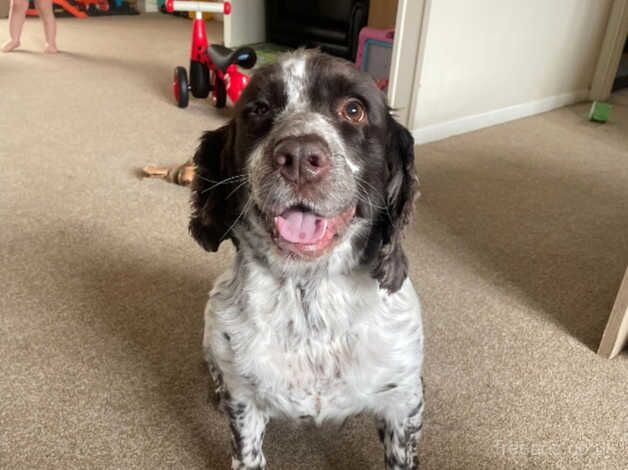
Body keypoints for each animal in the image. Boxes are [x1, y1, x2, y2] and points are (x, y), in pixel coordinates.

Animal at [189, 49, 424, 468]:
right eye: (259, 109)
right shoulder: (244, 404)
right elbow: (247, 453)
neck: (309, 291)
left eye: (353, 109)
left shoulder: (404, 402)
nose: (298, 156)